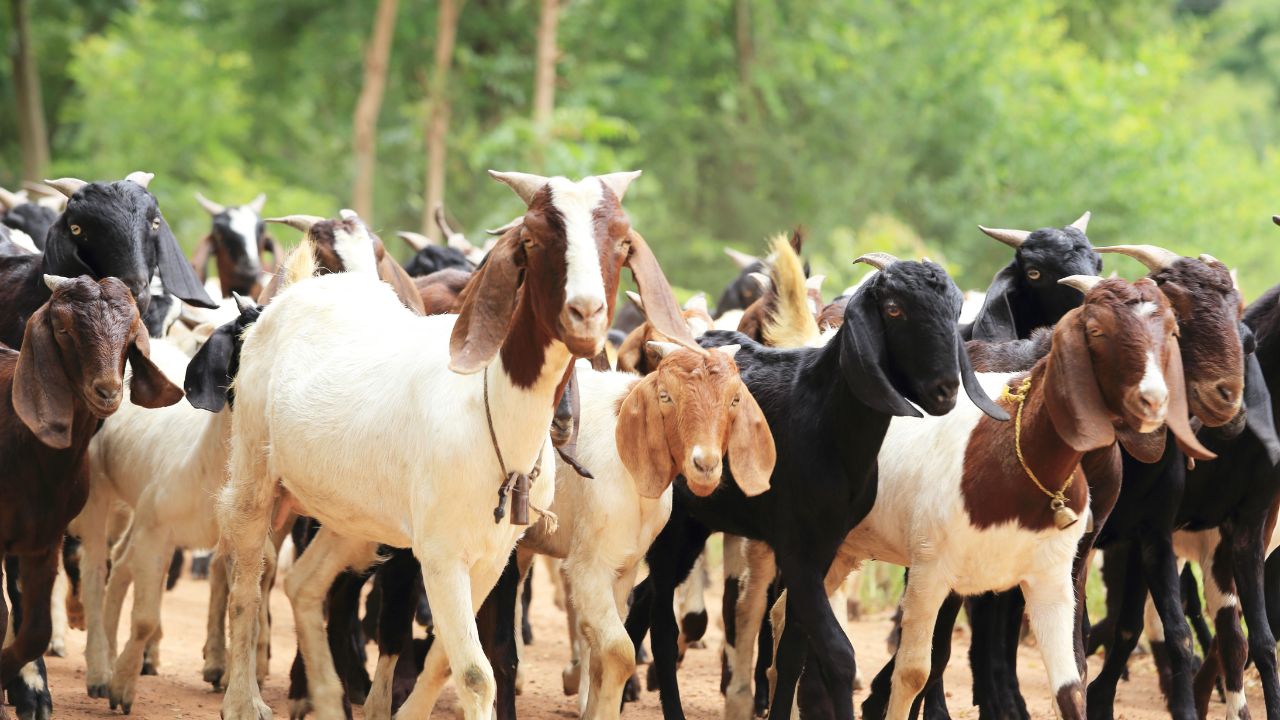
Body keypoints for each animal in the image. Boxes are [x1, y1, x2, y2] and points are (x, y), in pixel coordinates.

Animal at [216, 171, 696, 720]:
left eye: (620, 242)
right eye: (533, 239)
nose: (586, 313)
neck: (493, 417)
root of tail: (295, 291)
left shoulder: (492, 557)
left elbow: (448, 657)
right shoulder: (441, 555)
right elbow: (473, 671)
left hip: (352, 516)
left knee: (305, 585)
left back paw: (328, 699)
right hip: (254, 472)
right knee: (247, 583)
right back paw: (244, 699)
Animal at [626, 253, 1007, 720]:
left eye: (955, 311)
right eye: (894, 309)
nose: (945, 390)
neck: (825, 419)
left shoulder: (826, 545)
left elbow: (794, 647)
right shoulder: (796, 547)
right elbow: (837, 653)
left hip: (698, 523)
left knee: (643, 600)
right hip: (673, 525)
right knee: (662, 625)